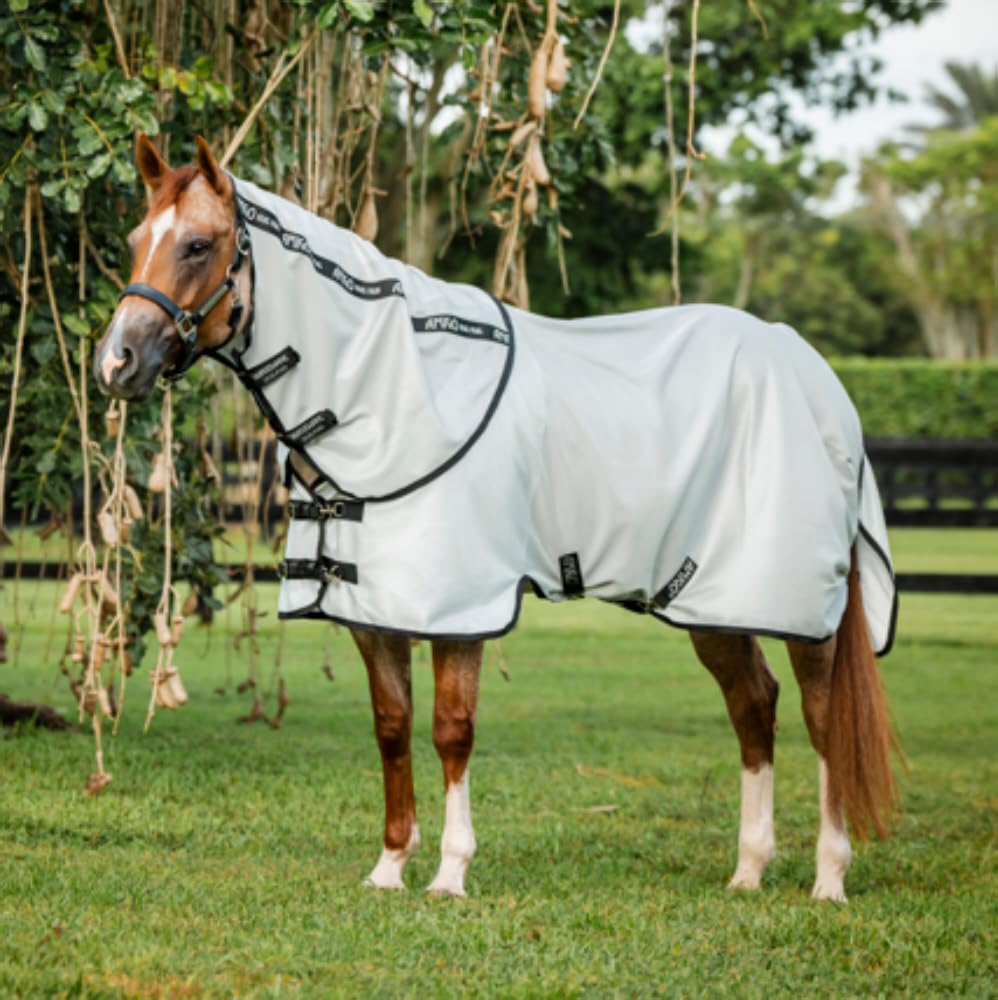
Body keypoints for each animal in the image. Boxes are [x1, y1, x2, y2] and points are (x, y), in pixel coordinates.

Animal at [94, 134, 899, 902]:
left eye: (198, 244)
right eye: (134, 239)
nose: (116, 362)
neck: (391, 392)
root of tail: (815, 374)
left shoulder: (460, 608)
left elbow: (452, 730)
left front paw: (451, 873)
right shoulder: (372, 610)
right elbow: (392, 728)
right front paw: (389, 867)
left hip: (800, 605)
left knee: (823, 718)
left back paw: (829, 878)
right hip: (711, 599)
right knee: (753, 706)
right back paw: (749, 871)